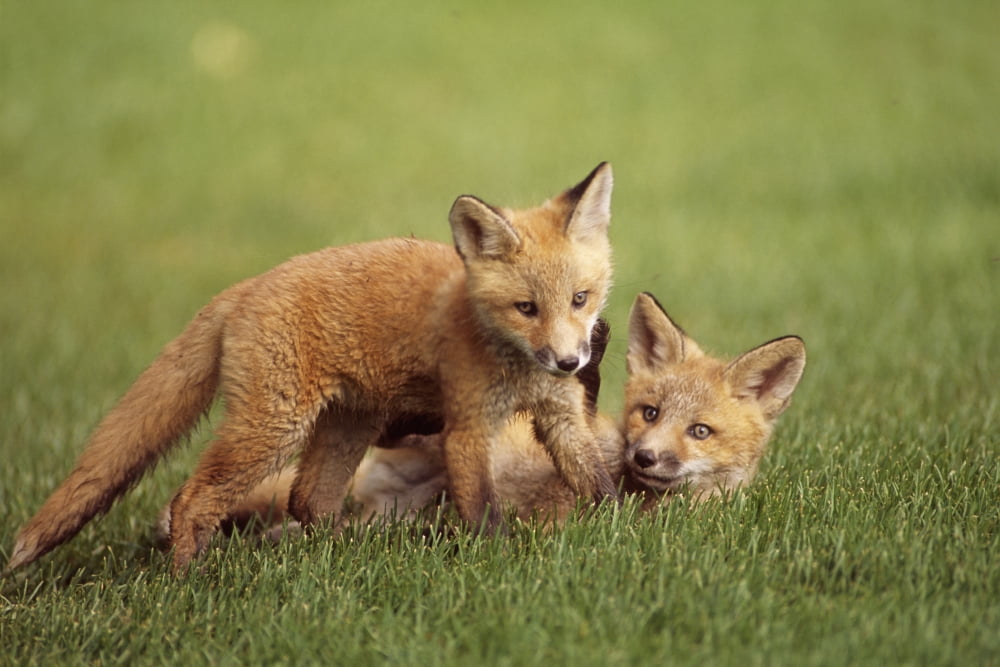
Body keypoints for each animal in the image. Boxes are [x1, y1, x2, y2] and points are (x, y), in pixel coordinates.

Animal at [7, 163, 619, 574]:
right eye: (526, 308)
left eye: (581, 299)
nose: (569, 361)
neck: (517, 366)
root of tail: (245, 286)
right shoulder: (468, 426)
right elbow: (484, 509)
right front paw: (495, 557)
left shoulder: (562, 415)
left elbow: (597, 481)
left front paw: (623, 531)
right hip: (275, 430)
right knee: (195, 498)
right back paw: (188, 575)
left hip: (349, 425)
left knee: (310, 501)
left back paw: (346, 551)